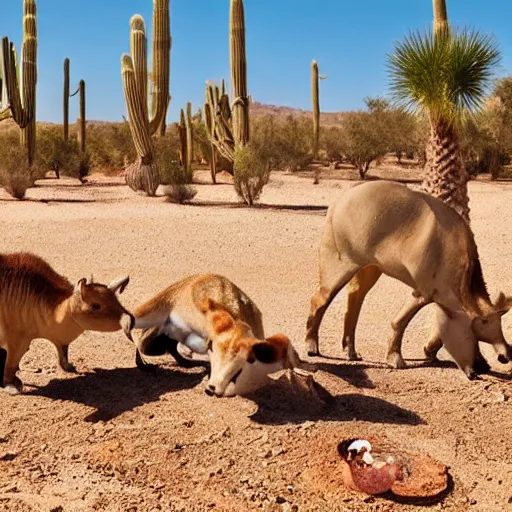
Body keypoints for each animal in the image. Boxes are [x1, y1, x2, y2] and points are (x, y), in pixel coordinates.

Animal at [0, 254, 134, 394]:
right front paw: (11, 386)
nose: (130, 320)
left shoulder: (59, 339)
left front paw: (69, 367)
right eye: (96, 306)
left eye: (116, 300)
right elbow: (11, 362)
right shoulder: (16, 339)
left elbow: (63, 354)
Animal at [306, 181, 512, 380]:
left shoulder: (443, 300)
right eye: (476, 330)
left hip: (370, 267)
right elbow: (400, 322)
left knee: (355, 297)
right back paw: (311, 346)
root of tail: (341, 198)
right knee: (320, 300)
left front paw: (429, 351)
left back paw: (350, 350)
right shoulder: (422, 293)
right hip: (340, 265)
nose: (504, 356)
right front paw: (395, 359)